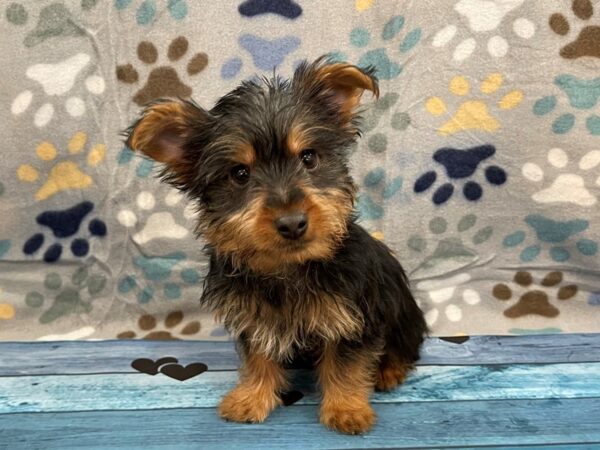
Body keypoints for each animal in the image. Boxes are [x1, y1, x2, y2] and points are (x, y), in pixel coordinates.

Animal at [126, 55, 426, 432]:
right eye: (240, 174)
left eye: (309, 158)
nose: (292, 222)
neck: (287, 267)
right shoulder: (253, 316)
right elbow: (258, 357)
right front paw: (251, 397)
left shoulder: (353, 318)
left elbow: (347, 364)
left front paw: (346, 409)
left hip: (403, 311)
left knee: (404, 345)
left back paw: (389, 371)